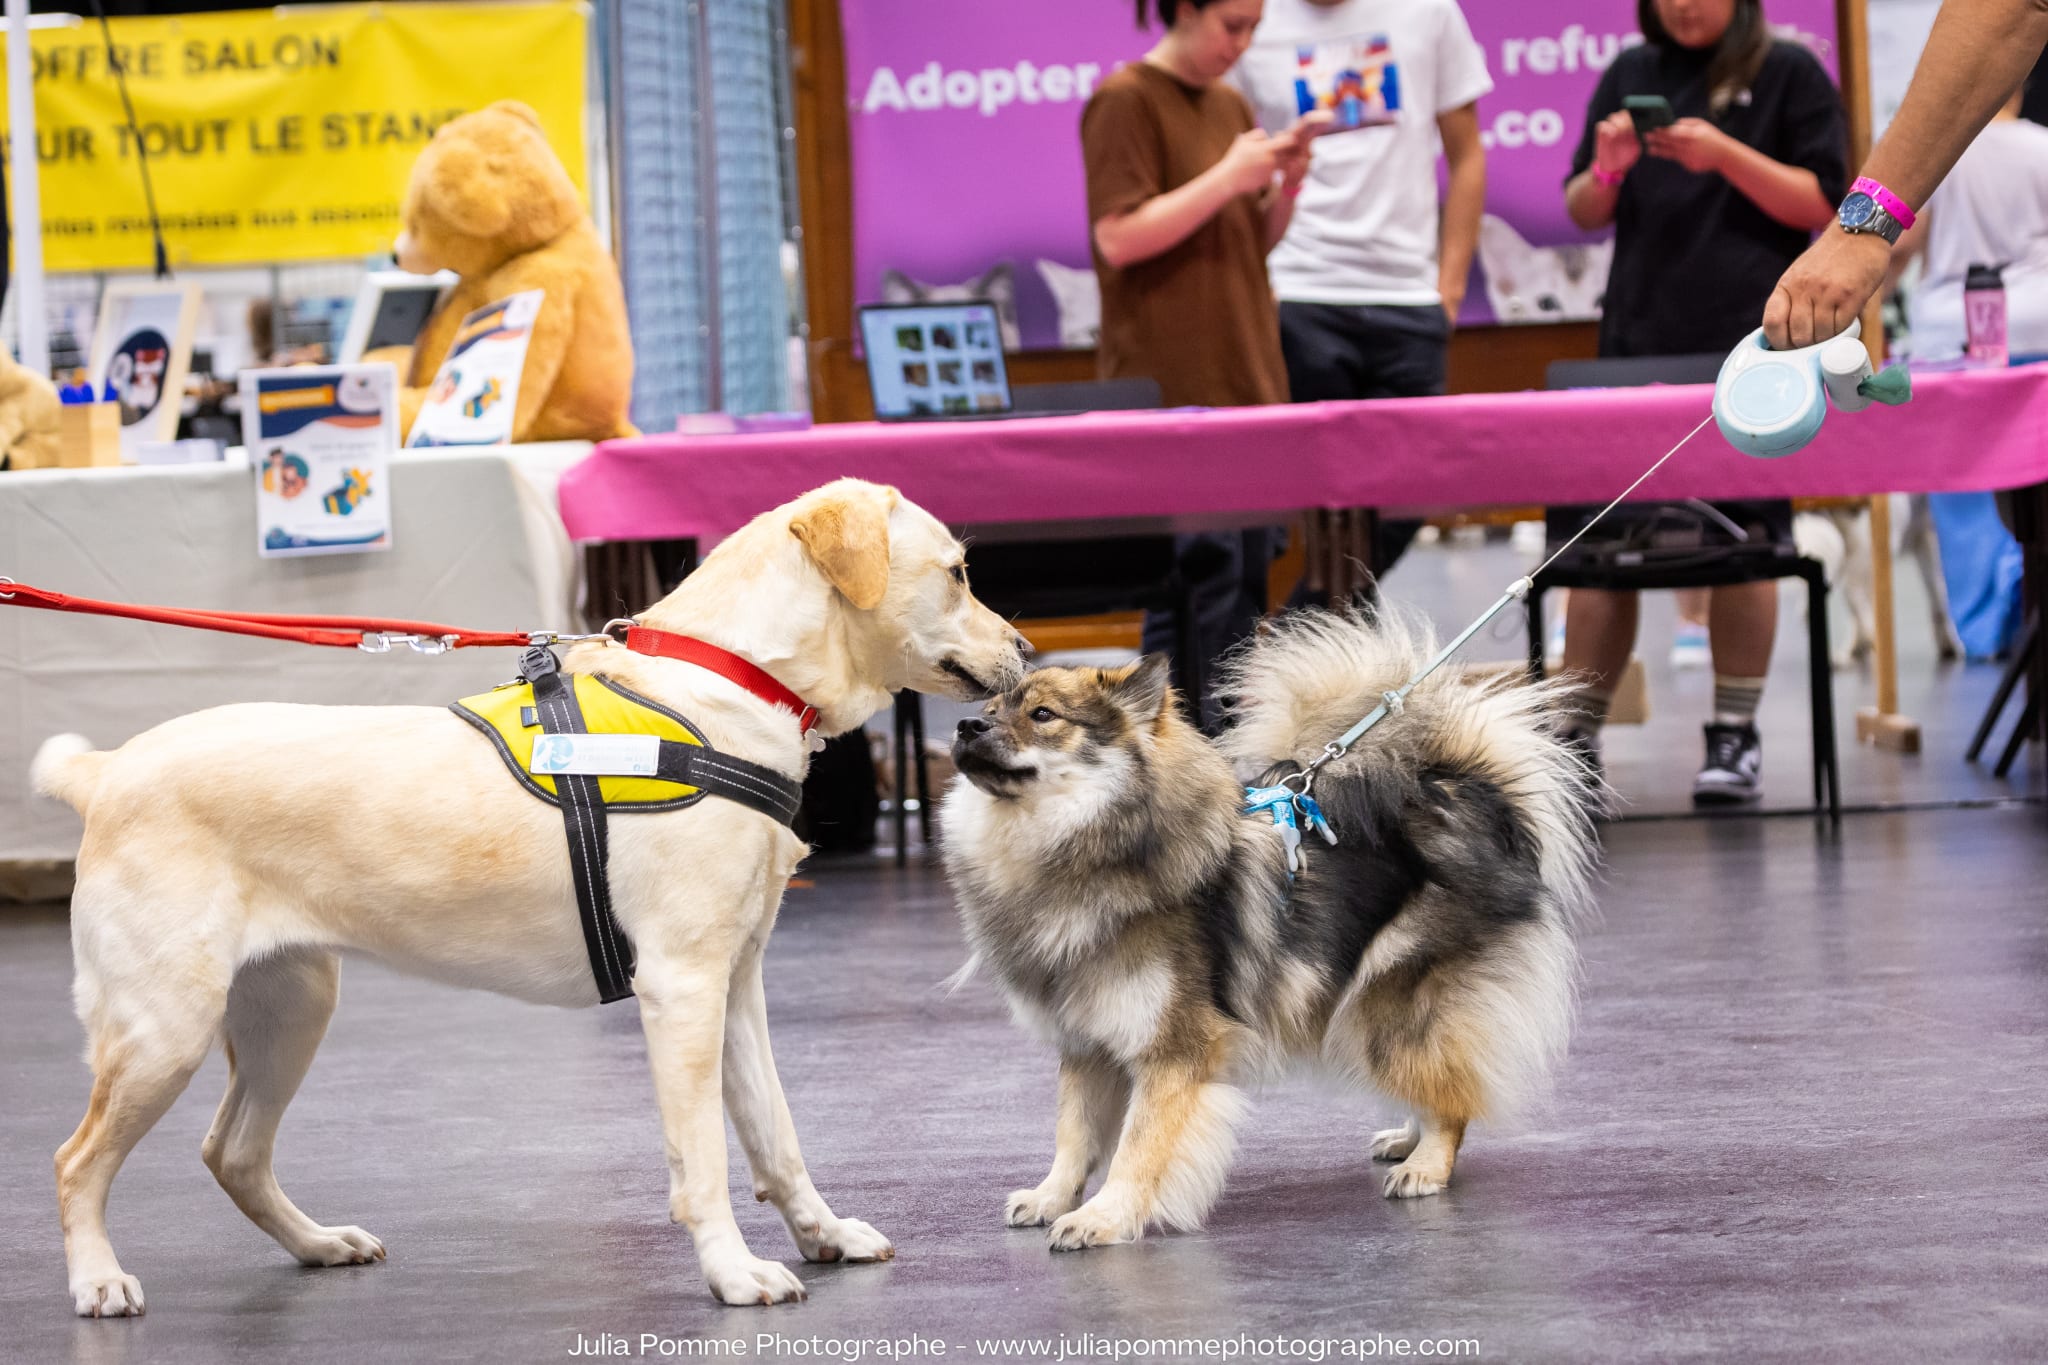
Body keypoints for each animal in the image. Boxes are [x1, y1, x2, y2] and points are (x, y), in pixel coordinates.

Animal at [28, 478, 1024, 1309]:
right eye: (958, 572)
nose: (1024, 646)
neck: (728, 684)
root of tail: (108, 771)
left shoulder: (736, 981)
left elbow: (775, 1132)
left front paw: (824, 1233)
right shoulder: (682, 987)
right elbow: (702, 1156)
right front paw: (734, 1271)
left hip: (291, 1006)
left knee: (231, 1149)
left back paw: (318, 1243)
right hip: (167, 1026)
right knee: (76, 1160)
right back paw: (98, 1279)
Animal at [942, 613, 1597, 1252]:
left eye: (1043, 716)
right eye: (993, 708)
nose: (966, 725)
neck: (1062, 847)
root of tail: (1464, 792)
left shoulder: (1174, 1048)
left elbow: (1138, 1145)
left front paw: (1103, 1218)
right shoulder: (1086, 1043)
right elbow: (1073, 1134)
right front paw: (1051, 1198)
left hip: (1389, 1004)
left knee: (1448, 1093)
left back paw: (1426, 1165)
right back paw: (1406, 1139)